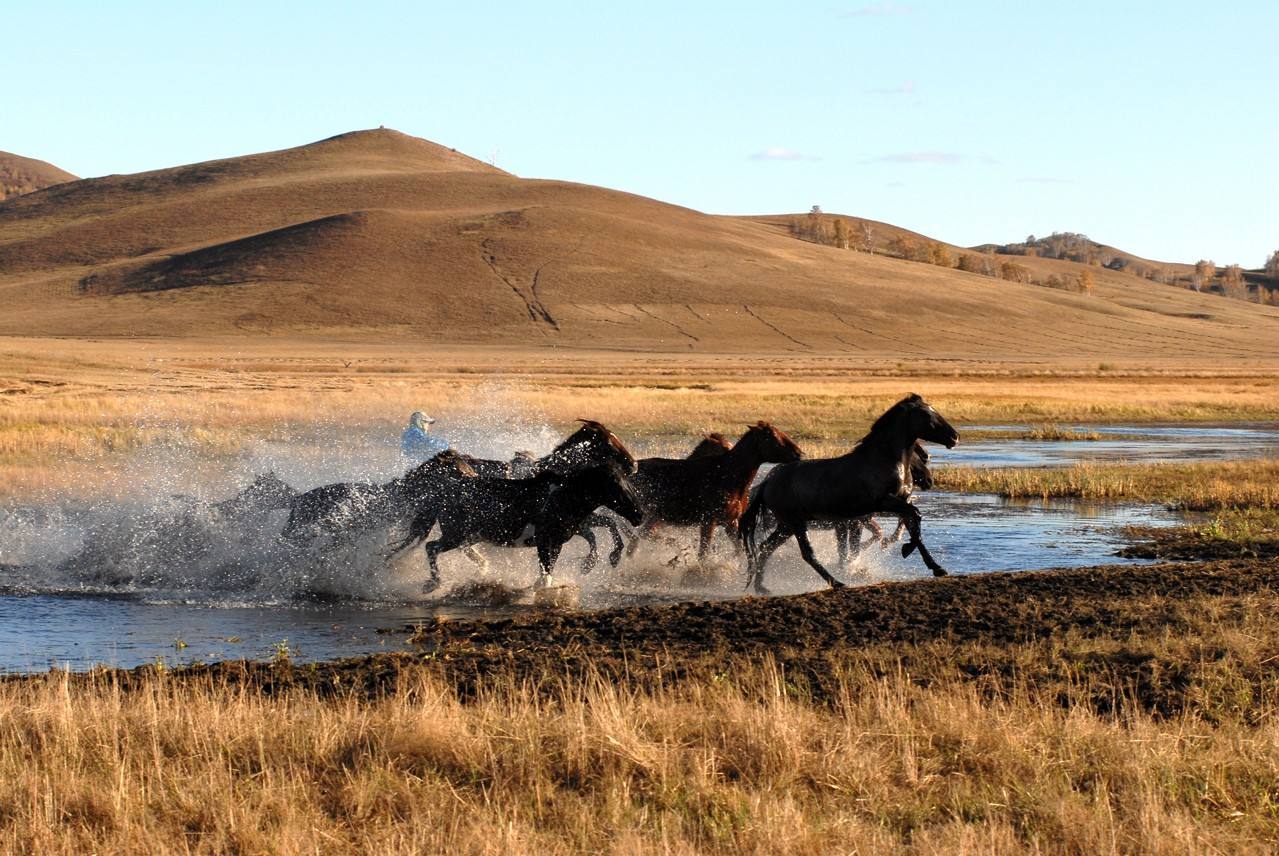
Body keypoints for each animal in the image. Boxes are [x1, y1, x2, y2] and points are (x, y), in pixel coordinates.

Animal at [386, 460, 639, 593]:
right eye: (615, 486)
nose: (638, 516)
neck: (560, 497)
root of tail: (446, 492)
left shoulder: (558, 541)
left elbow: (550, 567)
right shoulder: (546, 540)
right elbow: (546, 569)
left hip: (472, 535)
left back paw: (481, 569)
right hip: (455, 535)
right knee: (431, 547)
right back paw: (433, 583)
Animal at [626, 419, 798, 560]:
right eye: (772, 436)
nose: (798, 453)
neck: (730, 479)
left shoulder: (730, 522)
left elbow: (739, 550)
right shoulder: (709, 521)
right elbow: (703, 554)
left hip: (655, 517)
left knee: (637, 539)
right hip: (653, 517)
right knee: (640, 538)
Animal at [741, 391, 961, 591]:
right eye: (928, 415)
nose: (955, 437)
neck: (885, 460)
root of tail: (767, 482)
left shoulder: (901, 501)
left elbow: (915, 526)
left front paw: (937, 568)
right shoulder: (883, 502)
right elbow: (914, 516)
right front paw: (905, 550)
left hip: (786, 526)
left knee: (764, 548)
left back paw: (762, 587)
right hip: (795, 523)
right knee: (806, 554)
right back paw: (837, 582)